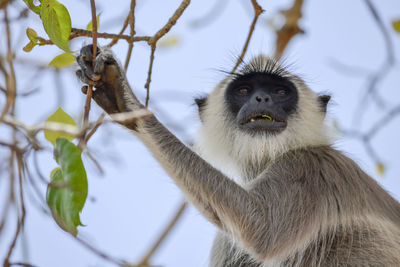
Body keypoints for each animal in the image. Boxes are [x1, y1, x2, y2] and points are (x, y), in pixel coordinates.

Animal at [75, 45, 400, 266]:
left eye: (280, 92)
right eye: (244, 90)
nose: (262, 98)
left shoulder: (313, 166)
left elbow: (261, 228)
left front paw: (130, 105)